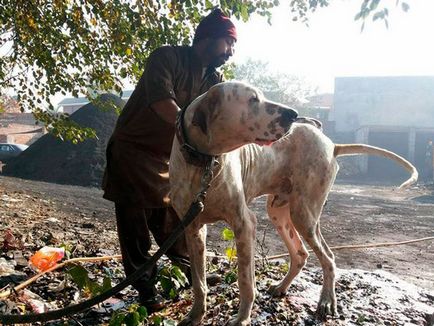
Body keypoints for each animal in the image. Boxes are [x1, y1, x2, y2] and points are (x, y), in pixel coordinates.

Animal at [168, 80, 416, 324]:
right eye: (253, 99)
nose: (293, 114)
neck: (202, 163)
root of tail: (331, 145)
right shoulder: (193, 229)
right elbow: (199, 283)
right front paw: (195, 315)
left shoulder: (244, 224)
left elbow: (245, 281)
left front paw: (242, 318)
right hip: (279, 213)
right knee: (301, 254)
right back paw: (282, 287)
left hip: (304, 215)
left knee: (328, 257)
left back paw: (326, 301)